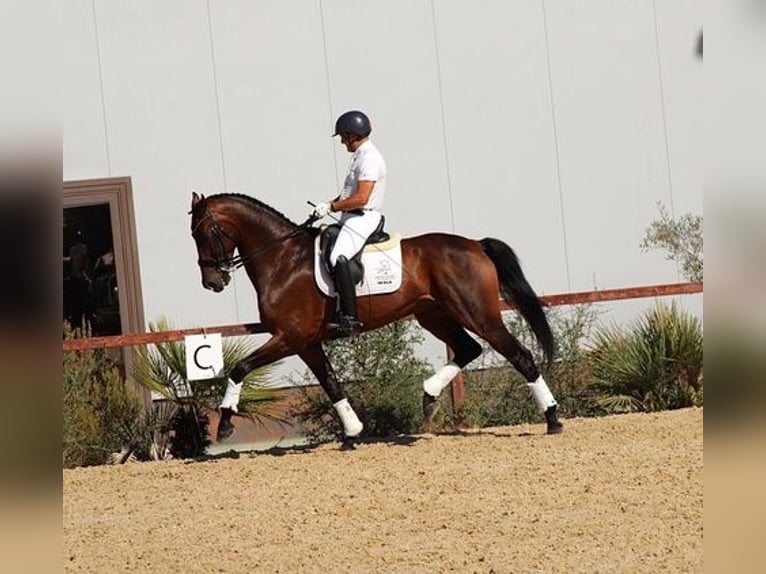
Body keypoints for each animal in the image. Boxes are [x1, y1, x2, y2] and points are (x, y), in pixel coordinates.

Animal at [190, 194, 564, 446]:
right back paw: (429, 396)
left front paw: (224, 423)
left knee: (519, 356)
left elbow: (239, 367)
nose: (212, 283)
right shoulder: (307, 343)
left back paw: (553, 418)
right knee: (468, 349)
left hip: (478, 314)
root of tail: (475, 244)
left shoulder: (288, 337)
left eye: (204, 232)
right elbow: (331, 383)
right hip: (434, 314)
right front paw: (353, 432)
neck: (282, 259)